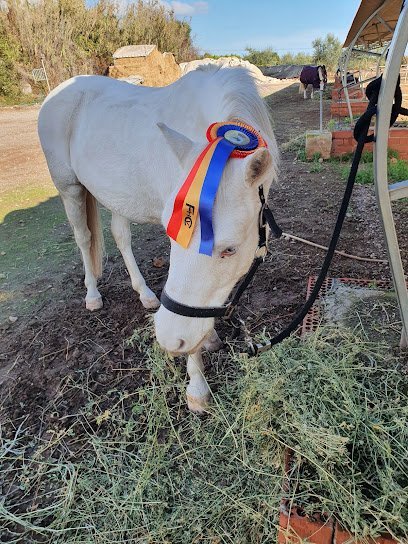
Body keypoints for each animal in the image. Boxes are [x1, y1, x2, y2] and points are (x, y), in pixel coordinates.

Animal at [38, 66, 278, 410]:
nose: (167, 338)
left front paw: (208, 338)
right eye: (173, 235)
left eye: (230, 249)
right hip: (69, 188)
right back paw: (93, 295)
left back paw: (146, 294)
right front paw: (196, 388)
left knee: (120, 236)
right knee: (84, 238)